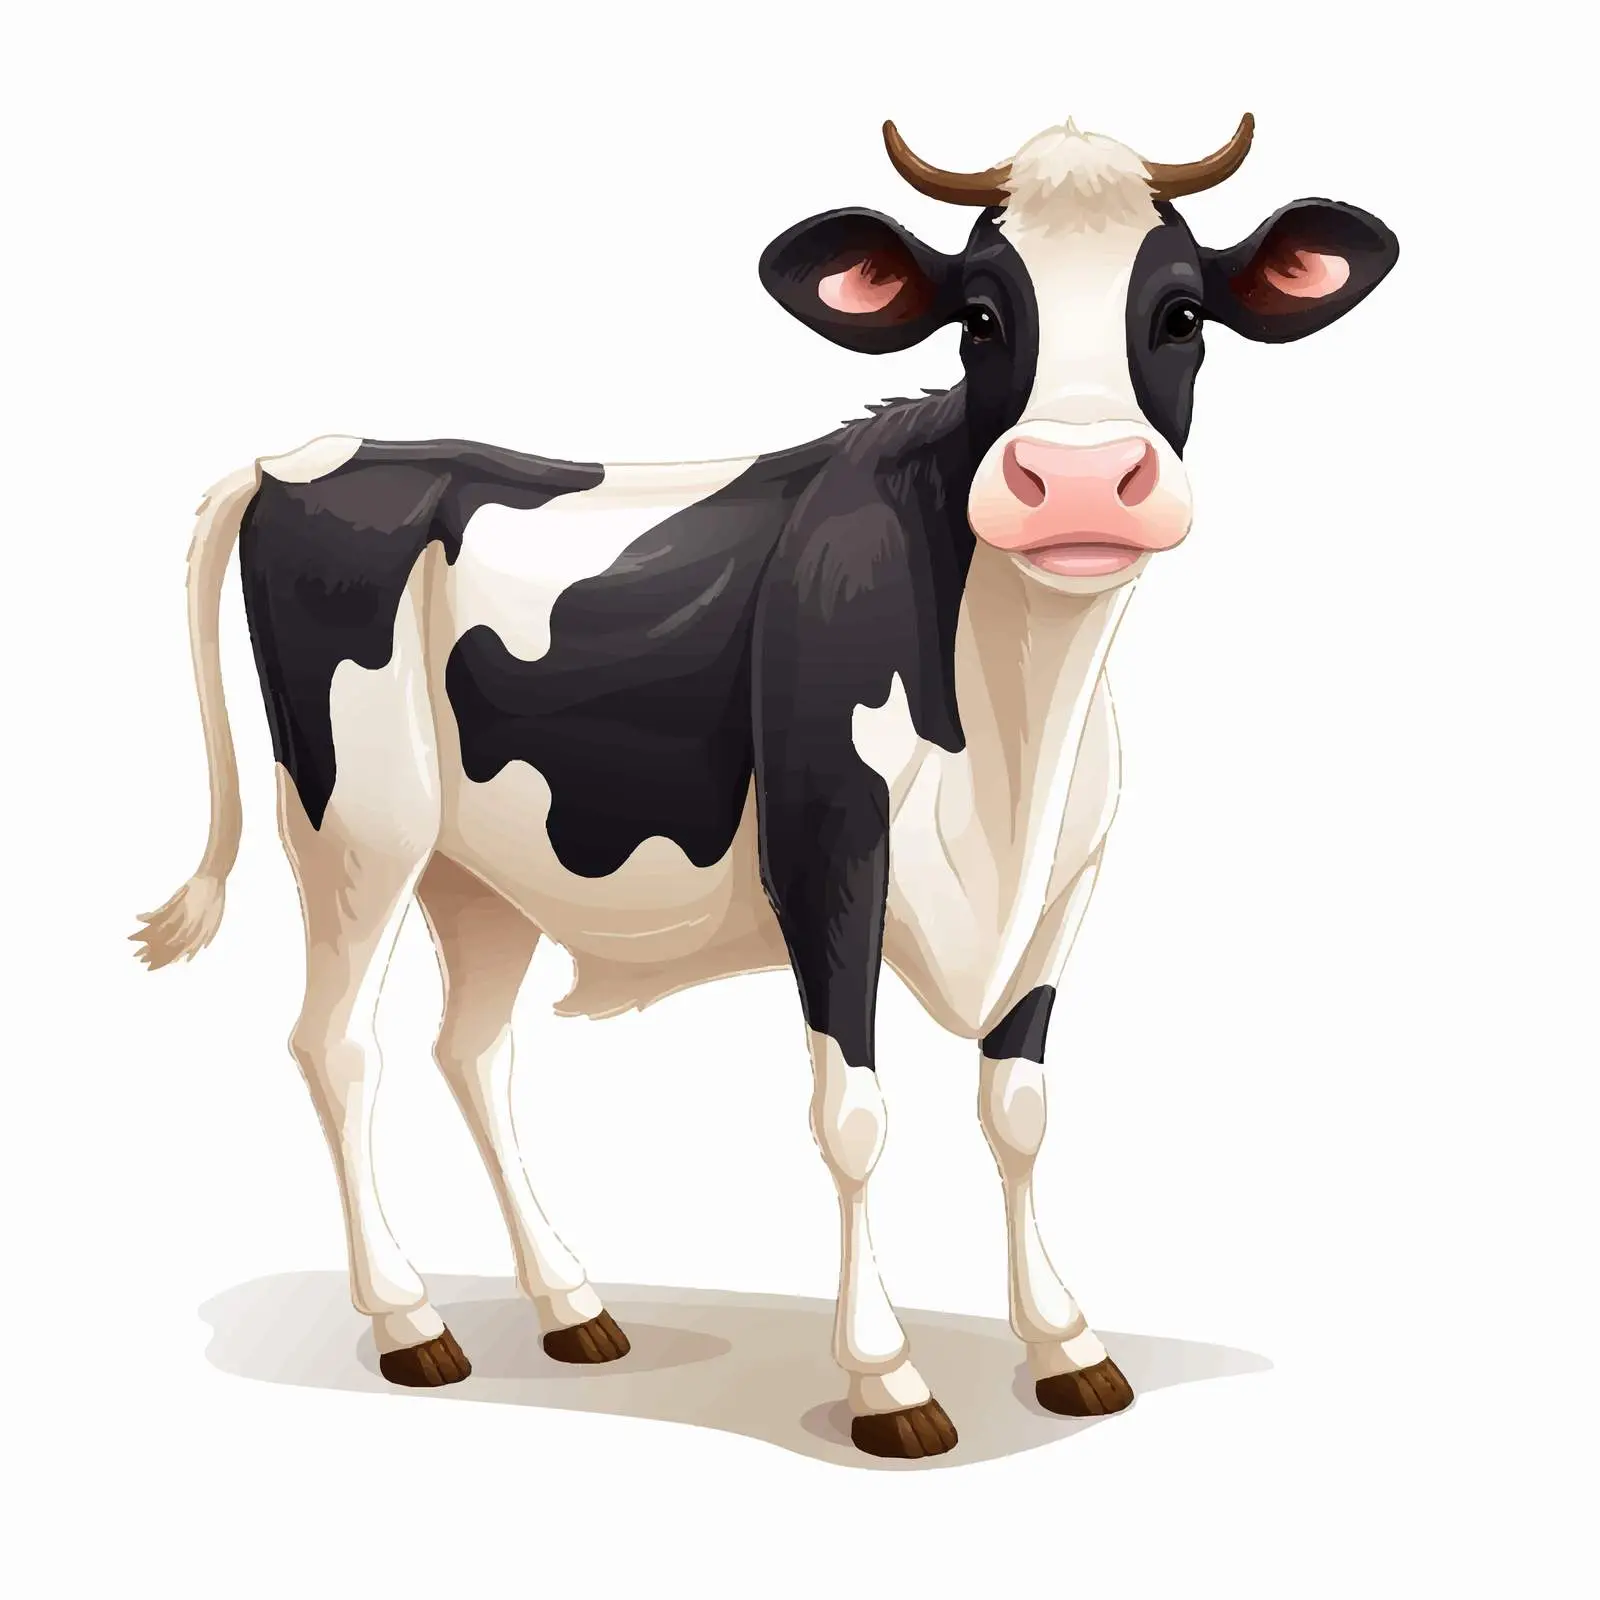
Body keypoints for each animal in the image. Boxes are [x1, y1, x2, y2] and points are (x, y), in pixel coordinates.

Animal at [133, 114, 1397, 1459]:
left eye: (1180, 313)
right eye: (980, 317)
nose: (1080, 480)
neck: (1012, 725)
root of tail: (311, 456)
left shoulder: (1065, 883)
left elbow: (1018, 1109)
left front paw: (1065, 1343)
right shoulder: (826, 856)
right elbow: (854, 1115)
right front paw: (887, 1379)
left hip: (480, 872)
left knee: (469, 1051)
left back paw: (570, 1302)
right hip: (358, 823)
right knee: (337, 1045)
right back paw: (407, 1319)